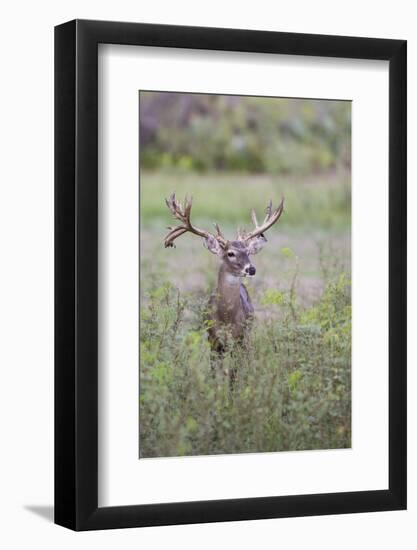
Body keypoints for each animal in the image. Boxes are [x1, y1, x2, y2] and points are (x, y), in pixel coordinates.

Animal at [162, 194, 282, 356]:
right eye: (230, 253)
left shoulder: (240, 338)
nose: (251, 269)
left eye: (248, 252)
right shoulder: (213, 340)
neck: (226, 318)